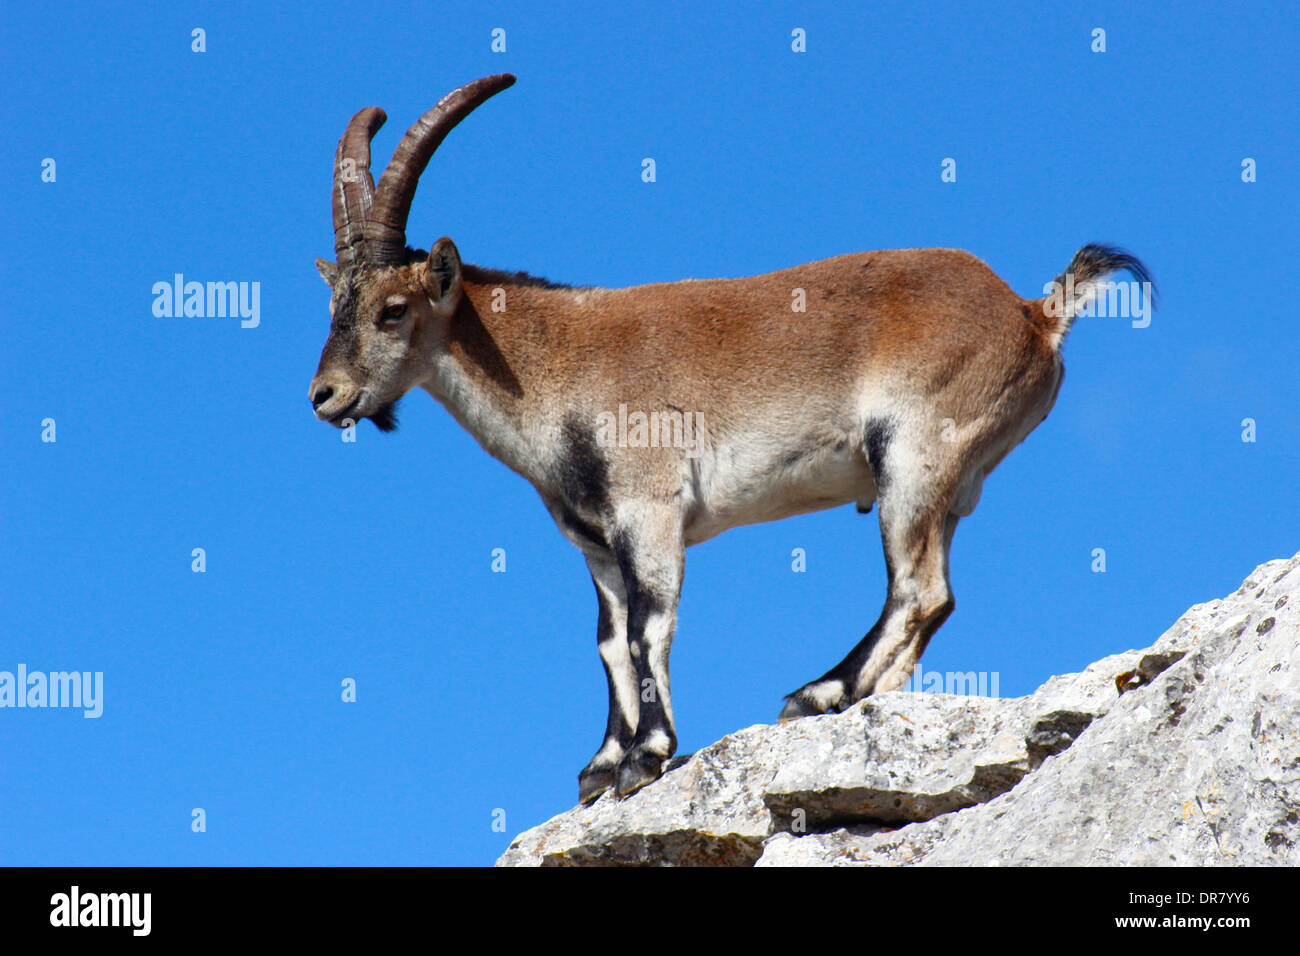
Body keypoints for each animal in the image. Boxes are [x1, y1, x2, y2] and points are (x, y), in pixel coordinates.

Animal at [309, 74, 1154, 806]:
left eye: (392, 309)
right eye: (334, 307)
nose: (326, 396)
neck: (549, 367)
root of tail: (1034, 314)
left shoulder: (649, 512)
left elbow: (651, 627)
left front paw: (647, 757)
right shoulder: (595, 543)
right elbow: (609, 642)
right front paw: (600, 765)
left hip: (915, 456)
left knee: (920, 589)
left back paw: (821, 692)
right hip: (946, 480)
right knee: (930, 598)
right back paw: (853, 694)